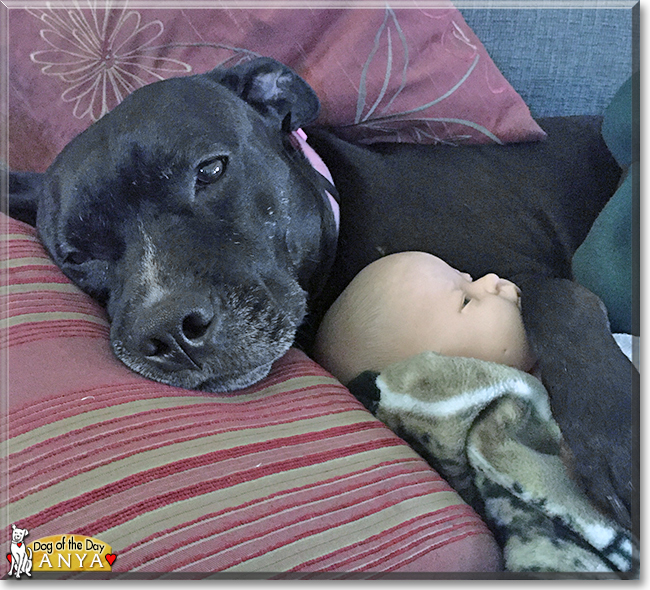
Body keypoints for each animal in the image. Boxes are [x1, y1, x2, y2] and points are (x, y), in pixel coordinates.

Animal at [5, 60, 632, 532]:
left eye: (209, 169)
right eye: (76, 255)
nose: (165, 332)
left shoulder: (537, 272)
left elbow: (561, 296)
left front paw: (613, 433)